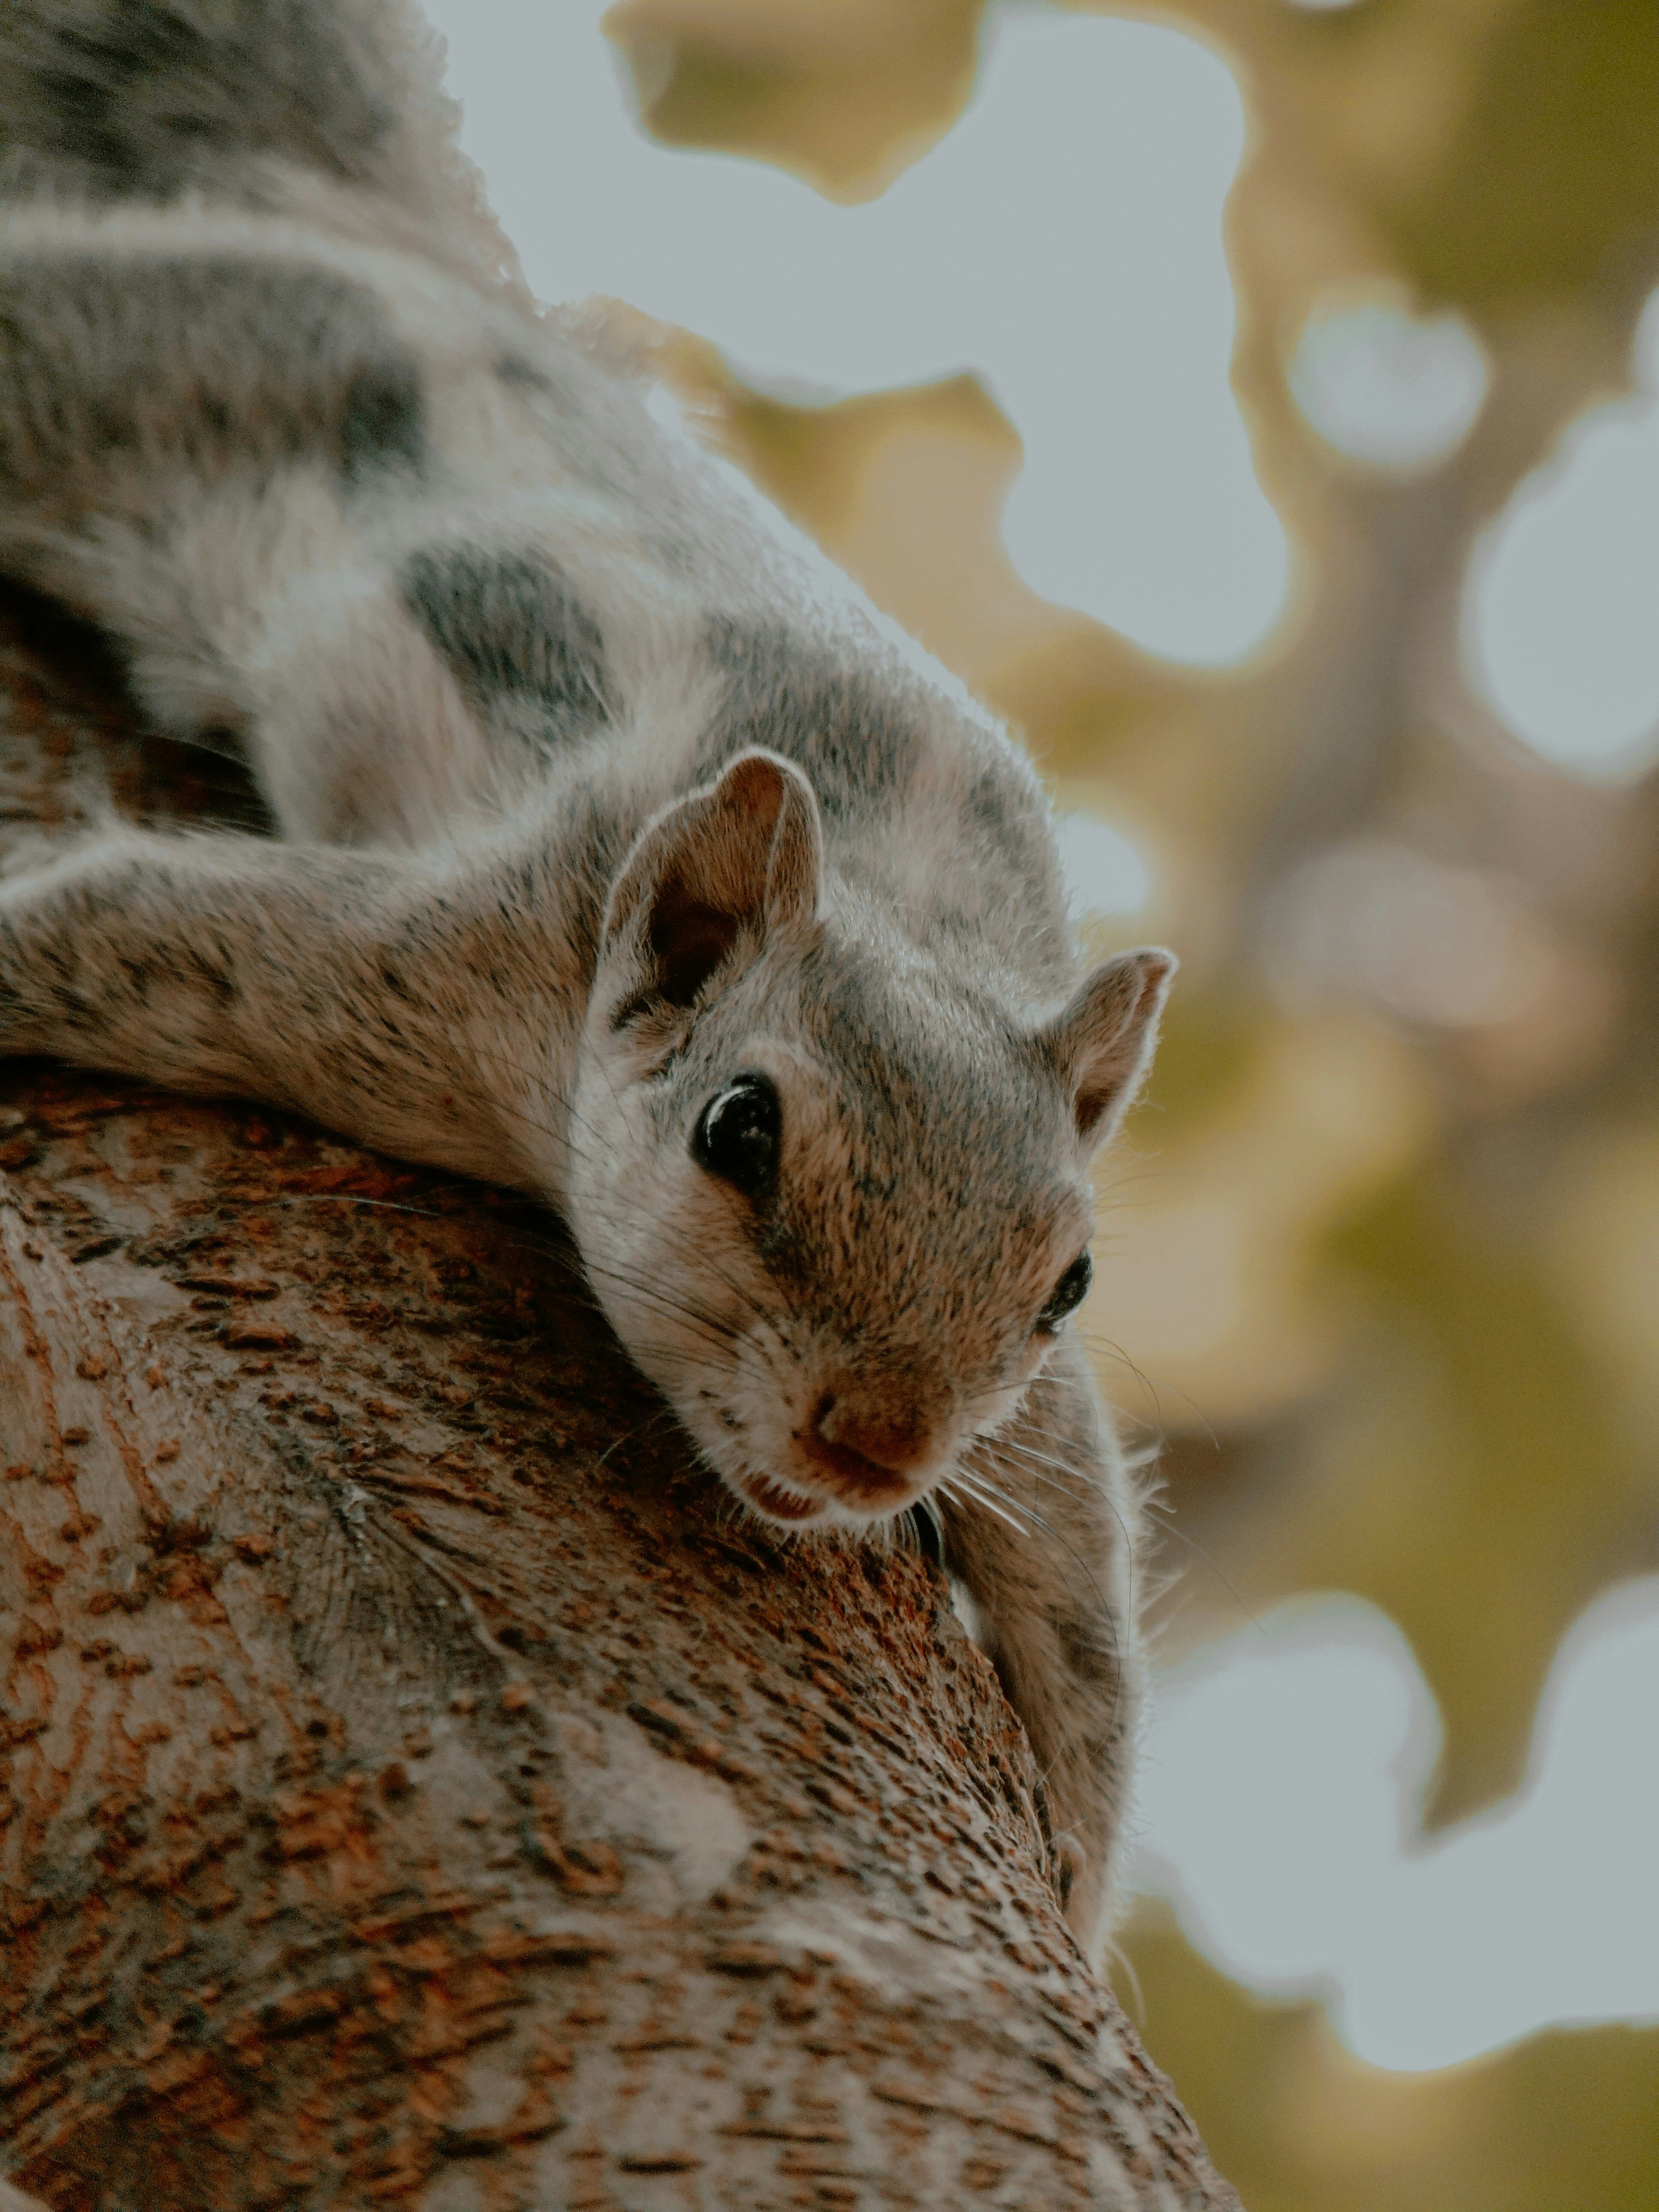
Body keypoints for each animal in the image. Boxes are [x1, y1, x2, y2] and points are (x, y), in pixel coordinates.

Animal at [0, 0, 1185, 1955]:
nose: (874, 1448)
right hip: (137, 354)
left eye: (1069, 1282)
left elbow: (1084, 1597)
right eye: (735, 1131)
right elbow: (124, 933)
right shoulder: (442, 963)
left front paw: (1080, 1879)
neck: (902, 908)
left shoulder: (1042, 1428)